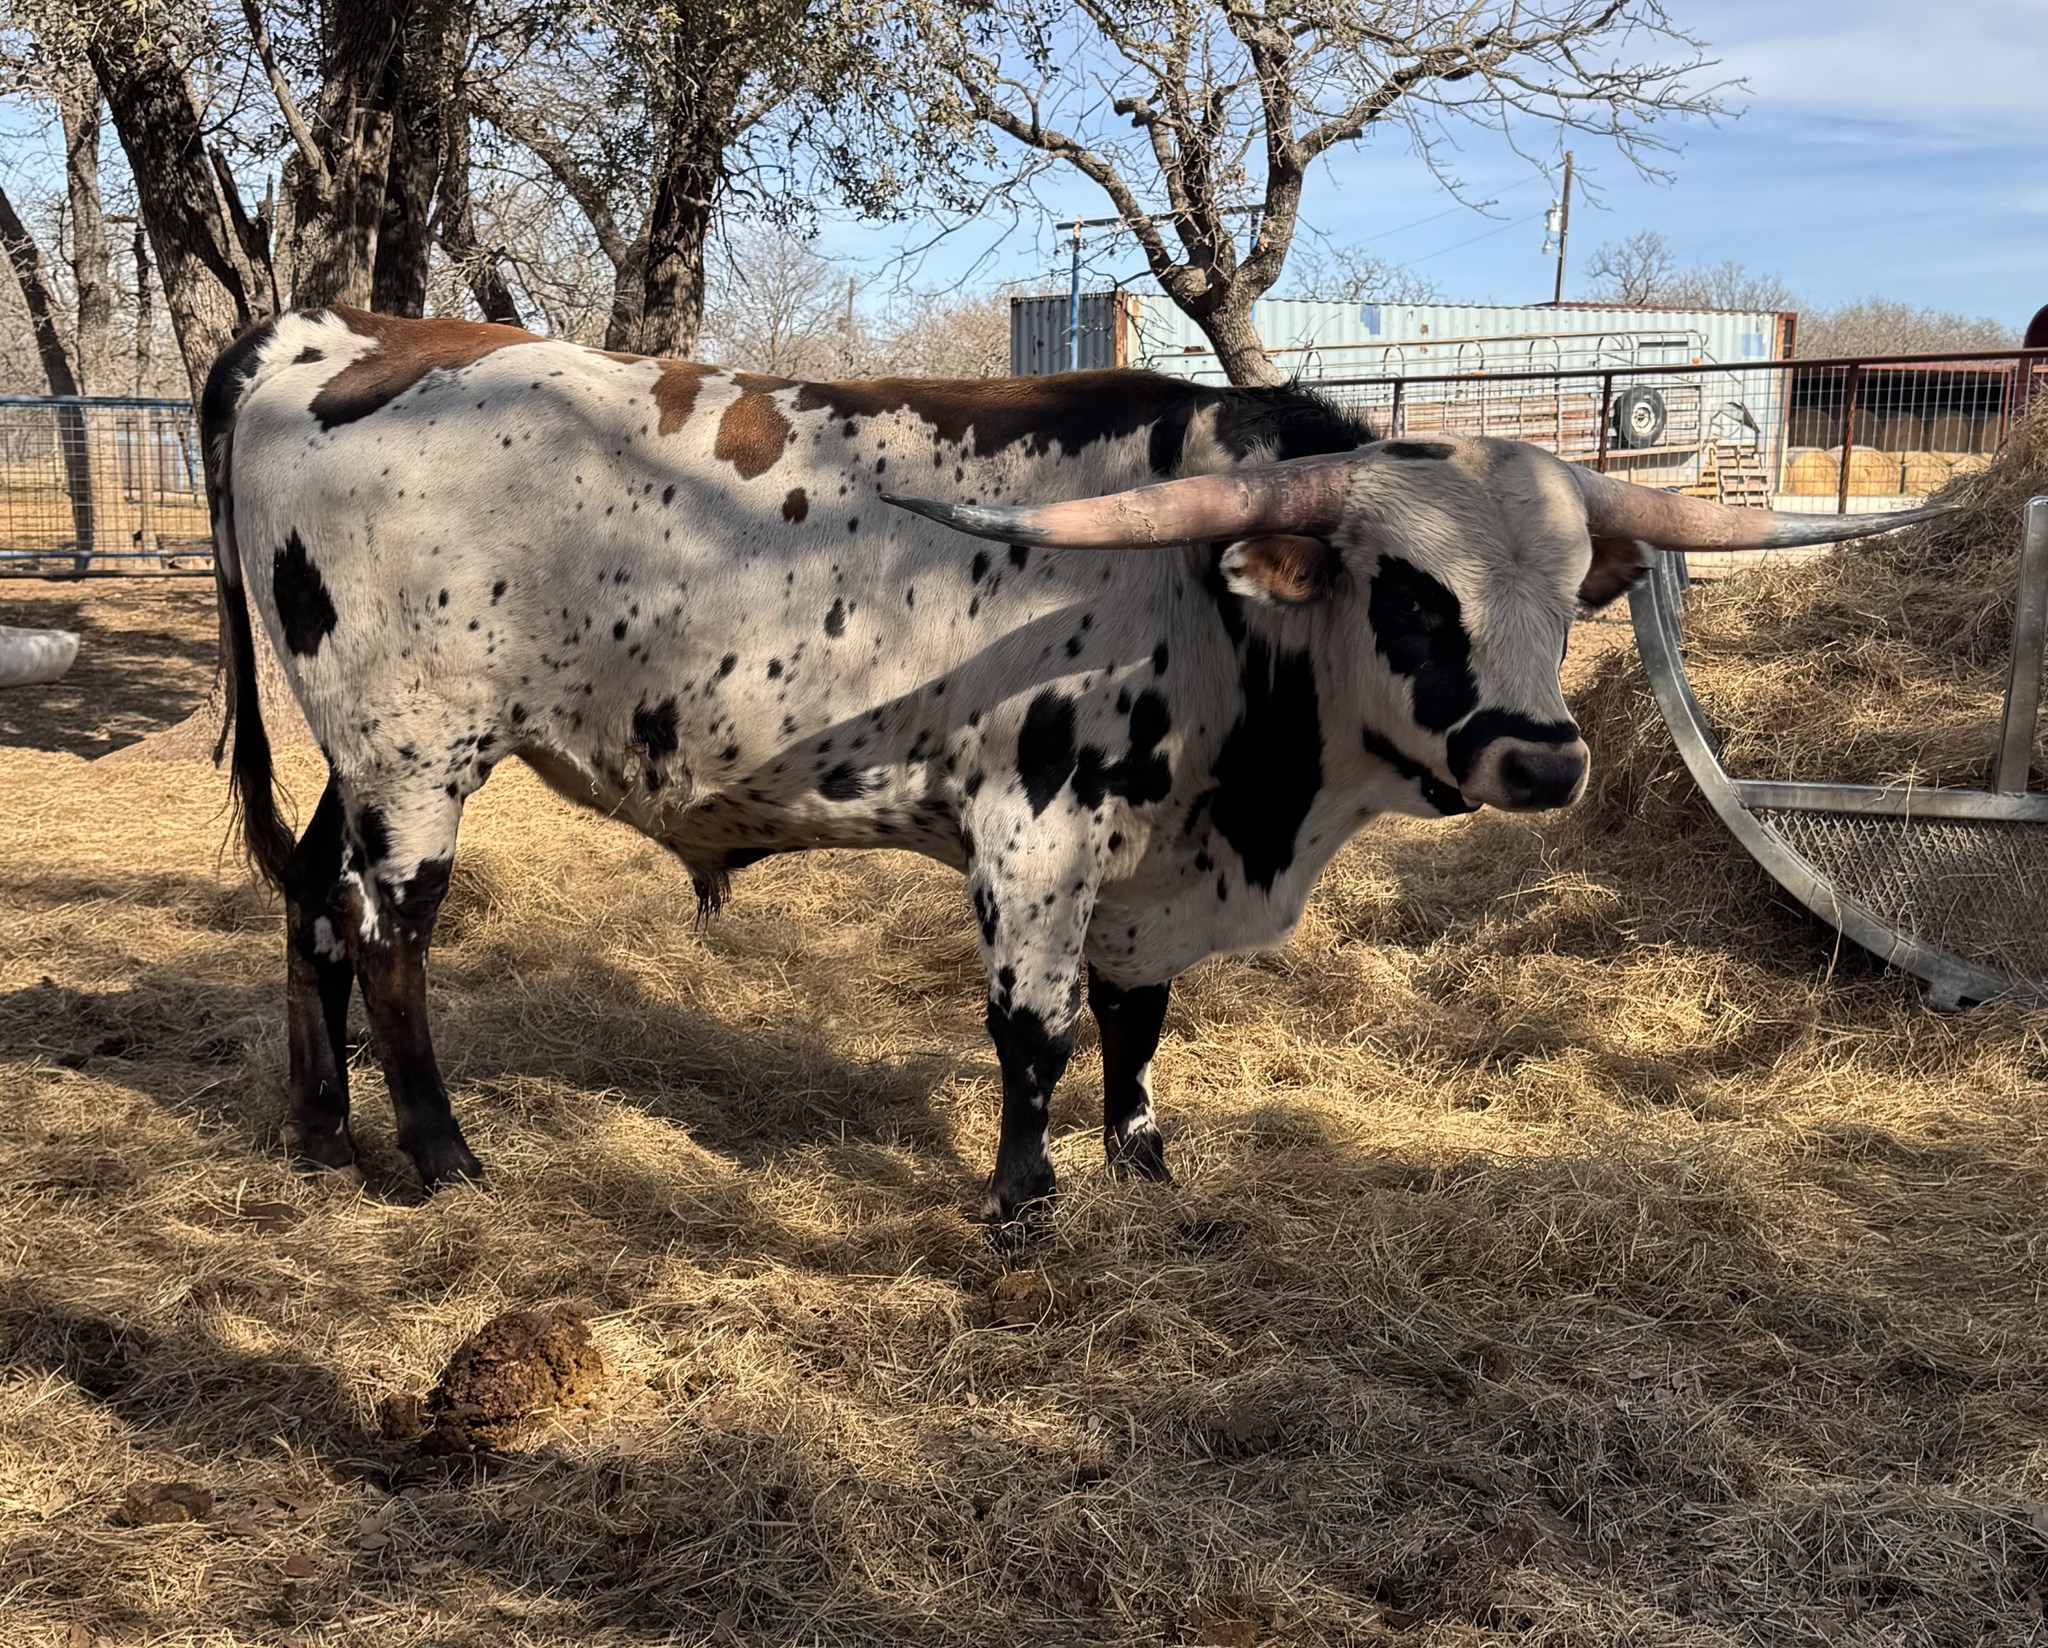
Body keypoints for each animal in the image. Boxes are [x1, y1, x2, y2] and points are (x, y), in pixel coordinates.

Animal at [203, 307, 1943, 1226]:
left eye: (1570, 590)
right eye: (1403, 590)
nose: (1542, 759)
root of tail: (341, 329)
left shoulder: (1152, 864)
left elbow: (1138, 1019)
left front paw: (1144, 1160)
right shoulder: (1035, 831)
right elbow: (1034, 1027)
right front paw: (1027, 1199)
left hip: (360, 754)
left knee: (309, 910)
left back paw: (319, 1129)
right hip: (420, 748)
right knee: (389, 934)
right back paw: (439, 1153)